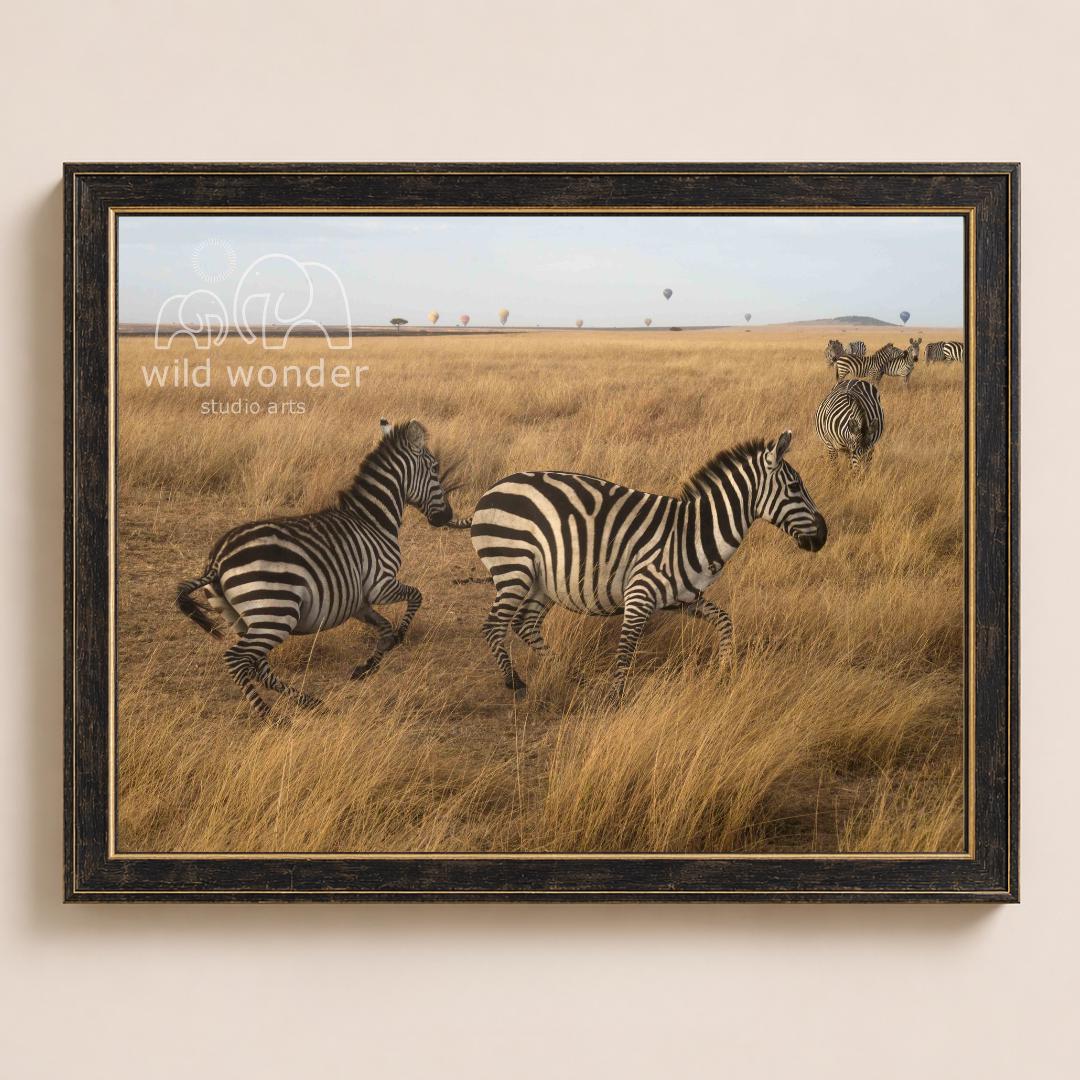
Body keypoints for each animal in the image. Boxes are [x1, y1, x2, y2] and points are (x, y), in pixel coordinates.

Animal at [175, 418, 459, 719]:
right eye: (435, 468)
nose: (447, 517)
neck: (373, 521)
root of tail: (218, 559)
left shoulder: (358, 601)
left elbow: (383, 628)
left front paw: (367, 667)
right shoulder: (381, 584)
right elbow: (416, 596)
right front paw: (399, 638)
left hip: (245, 619)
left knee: (258, 665)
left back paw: (307, 702)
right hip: (275, 613)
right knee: (238, 659)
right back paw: (272, 717)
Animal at [469, 432, 827, 699]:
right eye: (795, 487)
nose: (824, 535)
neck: (694, 532)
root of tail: (491, 492)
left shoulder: (685, 597)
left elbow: (725, 621)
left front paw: (725, 670)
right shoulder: (640, 594)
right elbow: (626, 650)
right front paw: (615, 701)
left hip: (544, 582)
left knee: (525, 624)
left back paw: (570, 674)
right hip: (514, 566)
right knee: (494, 625)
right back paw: (516, 683)